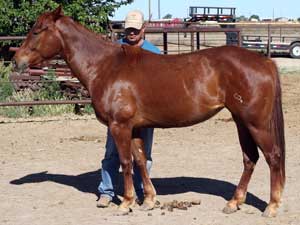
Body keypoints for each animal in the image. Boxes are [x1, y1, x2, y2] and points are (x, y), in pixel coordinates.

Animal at [14, 6, 286, 217]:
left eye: (37, 31)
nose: (17, 60)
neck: (106, 67)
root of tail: (264, 61)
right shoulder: (134, 128)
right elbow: (141, 161)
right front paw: (148, 200)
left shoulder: (120, 126)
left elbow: (125, 162)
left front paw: (125, 203)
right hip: (242, 121)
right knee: (250, 159)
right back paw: (234, 202)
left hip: (256, 123)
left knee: (273, 157)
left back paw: (271, 207)